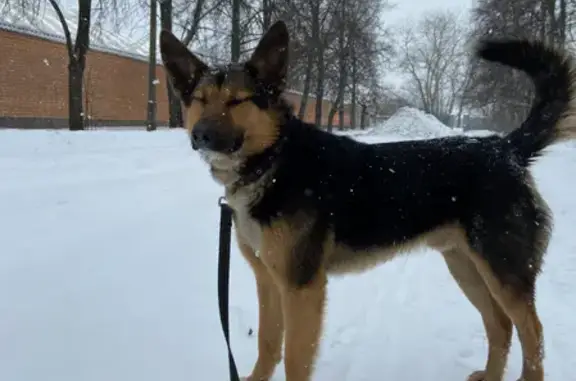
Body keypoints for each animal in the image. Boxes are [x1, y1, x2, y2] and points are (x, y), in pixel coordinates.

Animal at [160, 20, 576, 380]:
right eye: (199, 99)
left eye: (238, 101)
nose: (201, 135)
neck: (274, 162)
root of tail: (504, 148)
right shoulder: (269, 280)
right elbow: (267, 345)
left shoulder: (301, 287)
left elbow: (295, 360)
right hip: (465, 266)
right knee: (500, 326)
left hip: (503, 270)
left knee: (532, 333)